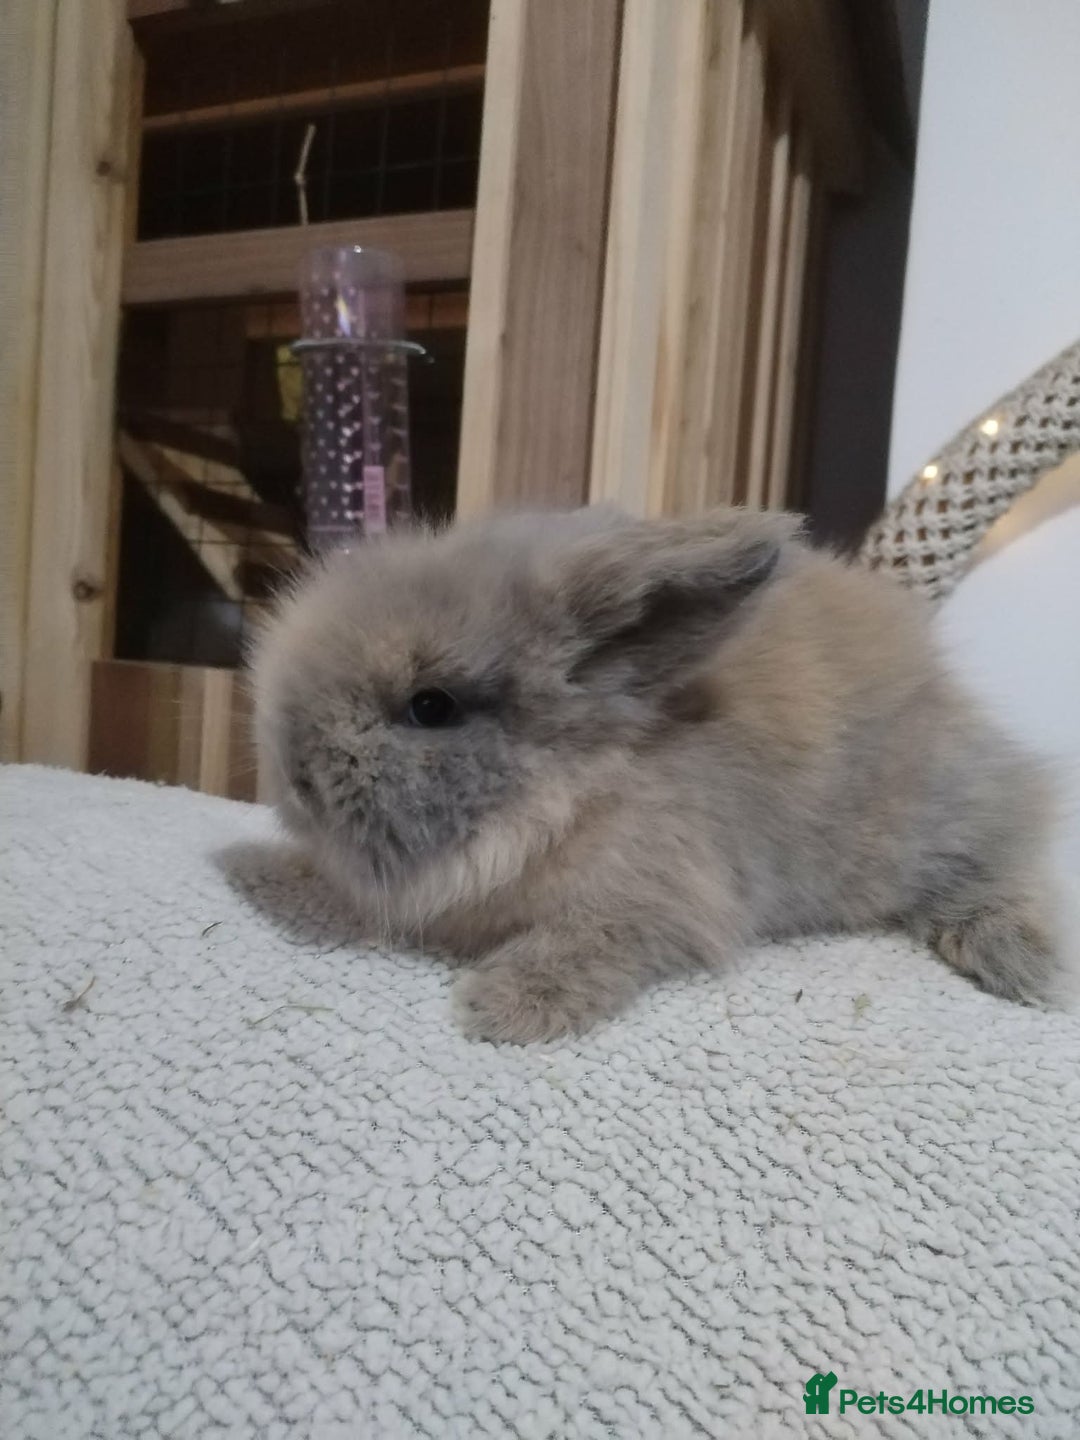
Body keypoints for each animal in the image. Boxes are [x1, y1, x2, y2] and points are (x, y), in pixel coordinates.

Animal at [252, 505, 1065, 1044]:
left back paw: (1024, 963)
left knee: (1014, 856)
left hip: (941, 823)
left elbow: (592, 942)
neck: (574, 792)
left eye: (430, 706)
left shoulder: (657, 898)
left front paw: (503, 1008)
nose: (292, 777)